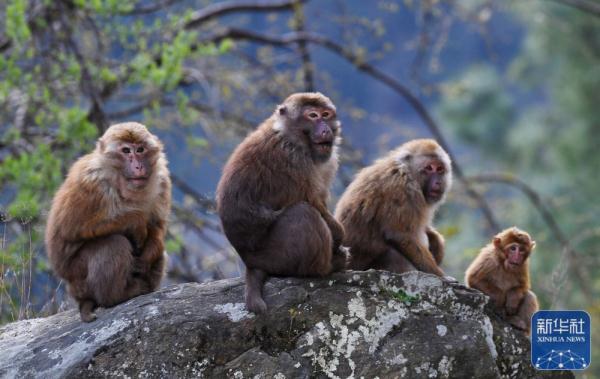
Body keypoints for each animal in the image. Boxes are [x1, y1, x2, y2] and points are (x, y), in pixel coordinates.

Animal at [45, 123, 169, 322]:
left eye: (140, 149)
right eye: (126, 151)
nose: (138, 165)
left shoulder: (162, 179)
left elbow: (157, 225)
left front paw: (146, 257)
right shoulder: (89, 181)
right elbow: (69, 228)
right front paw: (136, 221)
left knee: (158, 251)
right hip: (79, 275)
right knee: (114, 244)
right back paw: (117, 296)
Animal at [216, 92, 346, 314]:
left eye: (326, 115)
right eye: (312, 115)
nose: (326, 129)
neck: (289, 135)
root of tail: (250, 261)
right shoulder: (293, 159)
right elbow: (312, 202)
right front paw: (339, 237)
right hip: (275, 256)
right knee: (303, 214)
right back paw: (327, 267)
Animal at [336, 139, 452, 276]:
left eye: (439, 169)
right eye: (429, 168)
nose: (438, 182)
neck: (406, 171)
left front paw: (436, 240)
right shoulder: (399, 188)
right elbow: (400, 235)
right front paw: (440, 275)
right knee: (393, 255)